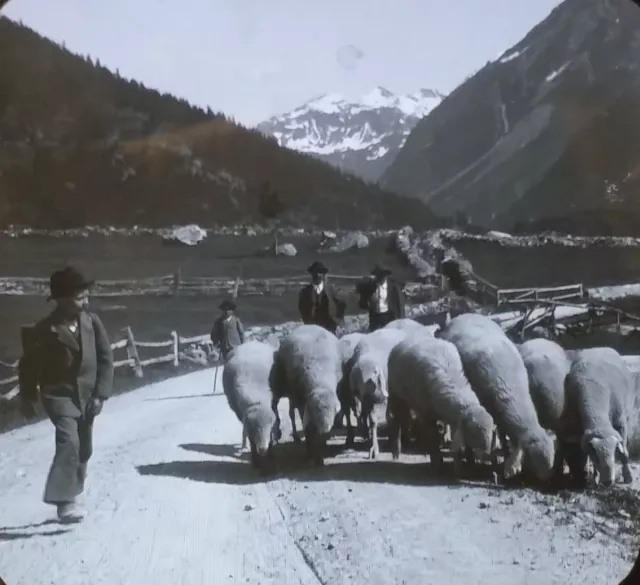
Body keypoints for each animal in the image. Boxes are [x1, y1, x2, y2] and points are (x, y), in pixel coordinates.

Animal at [222, 340, 278, 472]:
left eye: (269, 428)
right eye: (255, 428)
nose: (262, 449)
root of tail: (250, 342)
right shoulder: (244, 418)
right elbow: (249, 436)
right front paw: (255, 460)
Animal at [268, 324, 342, 466]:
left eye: (333, 412)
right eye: (315, 410)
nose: (324, 431)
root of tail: (309, 325)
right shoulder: (302, 401)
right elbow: (307, 427)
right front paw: (310, 453)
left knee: (291, 411)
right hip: (285, 389)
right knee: (282, 409)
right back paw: (283, 433)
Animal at [384, 328, 496, 474]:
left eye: (490, 432)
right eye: (473, 433)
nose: (486, 455)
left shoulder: (456, 420)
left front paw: (468, 463)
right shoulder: (424, 414)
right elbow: (433, 437)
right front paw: (437, 464)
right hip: (396, 393)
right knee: (397, 420)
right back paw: (396, 451)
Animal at [440, 312, 556, 482]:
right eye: (532, 459)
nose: (548, 478)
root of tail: (464, 314)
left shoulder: (500, 413)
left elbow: (502, 433)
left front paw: (505, 455)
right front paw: (472, 459)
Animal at [564, 344, 636, 486]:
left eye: (614, 452)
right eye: (596, 455)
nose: (607, 481)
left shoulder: (621, 423)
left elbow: (624, 452)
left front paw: (628, 476)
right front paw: (595, 479)